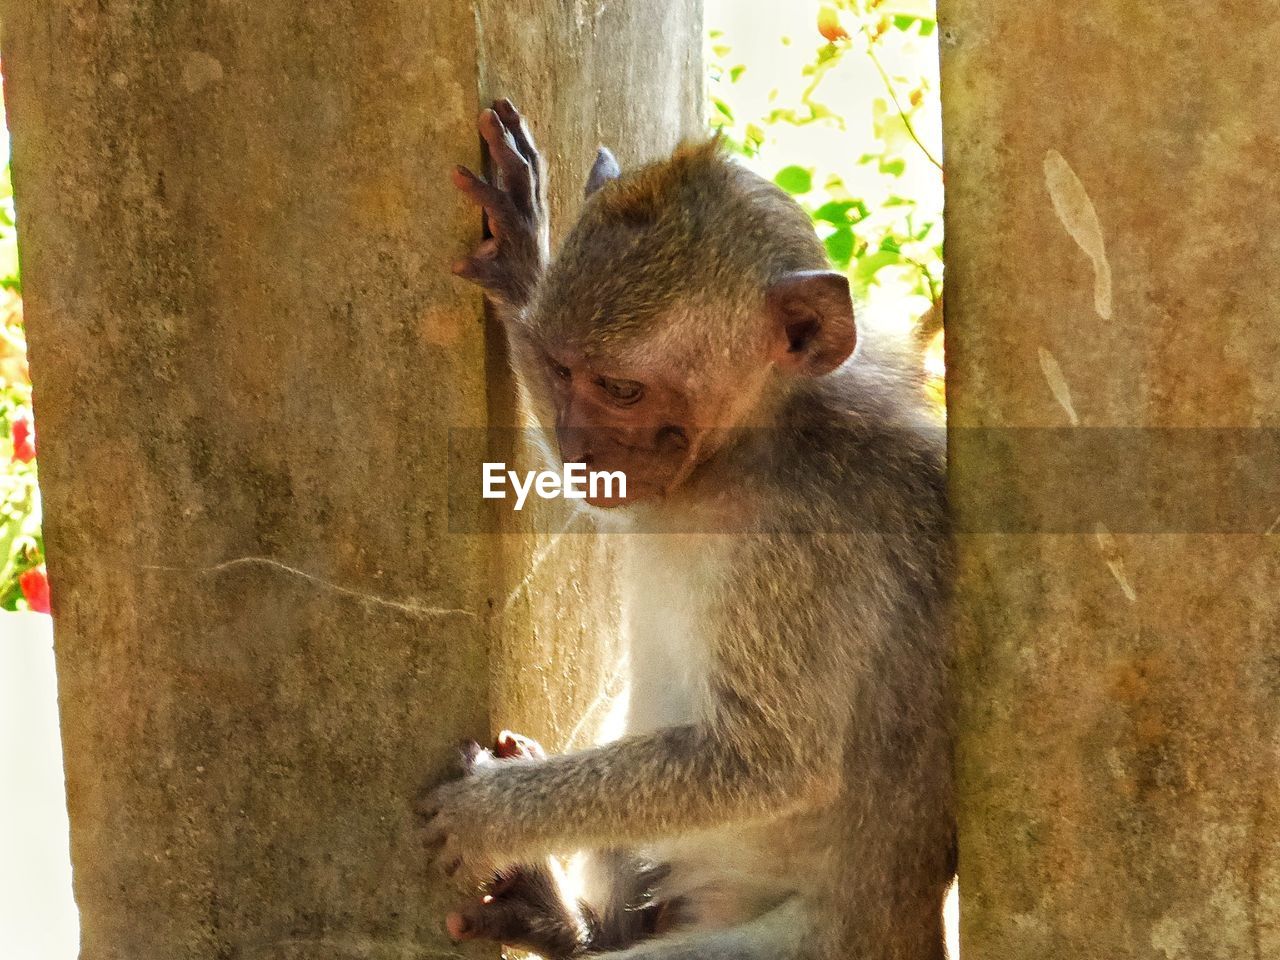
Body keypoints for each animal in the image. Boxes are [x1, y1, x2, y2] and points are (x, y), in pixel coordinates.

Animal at [417, 96, 952, 960]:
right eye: (563, 370)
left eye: (623, 389)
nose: (580, 444)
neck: (750, 448)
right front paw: (523, 258)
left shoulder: (800, 552)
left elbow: (769, 762)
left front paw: (488, 813)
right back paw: (575, 927)